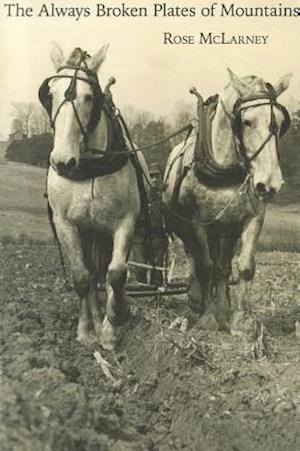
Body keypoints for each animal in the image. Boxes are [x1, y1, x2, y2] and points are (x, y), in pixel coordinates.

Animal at [38, 45, 149, 350]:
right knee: (91, 273)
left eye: (90, 97)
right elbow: (80, 277)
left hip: (102, 234)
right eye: (50, 94)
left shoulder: (125, 222)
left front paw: (114, 322)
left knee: (103, 274)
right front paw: (87, 330)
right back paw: (96, 317)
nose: (63, 162)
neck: (89, 166)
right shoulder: (66, 224)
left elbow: (117, 274)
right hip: (88, 234)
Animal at [163, 70, 292, 332]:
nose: (270, 184)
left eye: (282, 124)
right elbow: (205, 266)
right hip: (185, 228)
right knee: (194, 258)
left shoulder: (251, 218)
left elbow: (242, 267)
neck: (223, 167)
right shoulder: (197, 224)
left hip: (224, 229)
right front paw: (208, 317)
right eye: (247, 122)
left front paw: (240, 319)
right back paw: (196, 300)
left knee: (221, 265)